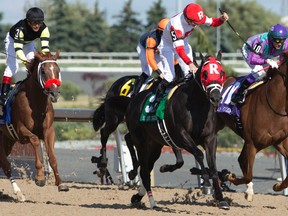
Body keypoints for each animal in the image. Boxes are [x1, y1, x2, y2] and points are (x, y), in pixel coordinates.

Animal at [0, 50, 68, 201]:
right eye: (43, 71)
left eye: (58, 70)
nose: (54, 93)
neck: (36, 104)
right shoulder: (21, 131)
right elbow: (36, 140)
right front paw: (40, 178)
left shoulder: (49, 131)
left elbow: (52, 156)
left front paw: (60, 183)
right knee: (5, 164)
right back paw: (18, 192)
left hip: (7, 141)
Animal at [124, 52, 230, 209]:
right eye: (205, 73)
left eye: (222, 72)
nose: (215, 97)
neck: (196, 105)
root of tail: (134, 100)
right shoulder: (181, 135)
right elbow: (198, 154)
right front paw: (206, 183)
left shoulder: (210, 138)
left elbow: (212, 164)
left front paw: (221, 198)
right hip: (141, 142)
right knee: (142, 168)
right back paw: (151, 202)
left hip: (154, 145)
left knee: (146, 168)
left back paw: (138, 195)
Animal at [216, 49, 288, 201]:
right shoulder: (252, 143)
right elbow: (248, 174)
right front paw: (228, 175)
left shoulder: (280, 142)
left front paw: (277, 186)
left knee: (240, 159)